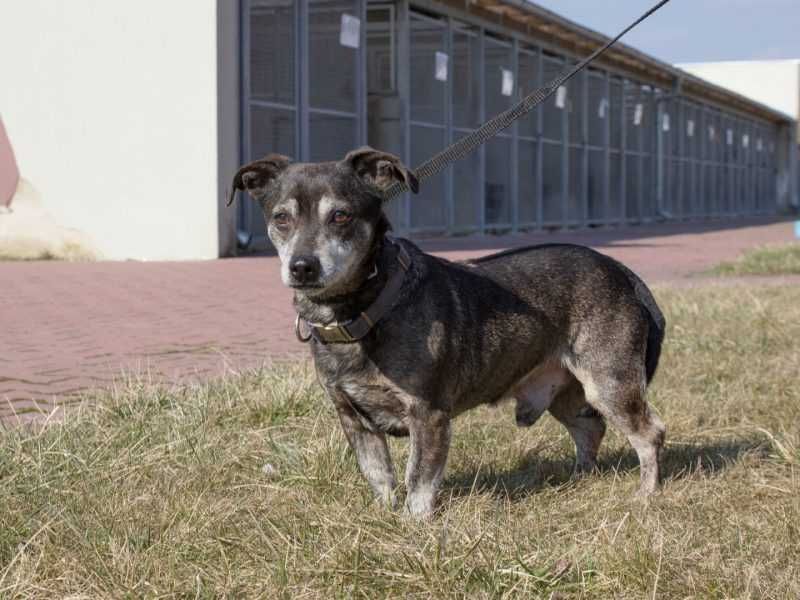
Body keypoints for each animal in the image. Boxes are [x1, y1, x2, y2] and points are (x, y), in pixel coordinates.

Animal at [228, 148, 664, 516]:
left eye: (341, 216)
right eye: (281, 218)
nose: (302, 267)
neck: (368, 309)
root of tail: (621, 271)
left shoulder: (429, 416)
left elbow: (419, 481)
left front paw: (414, 530)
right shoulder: (353, 418)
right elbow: (380, 477)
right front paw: (385, 518)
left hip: (609, 383)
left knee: (650, 433)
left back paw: (645, 495)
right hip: (565, 391)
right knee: (591, 427)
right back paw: (580, 479)